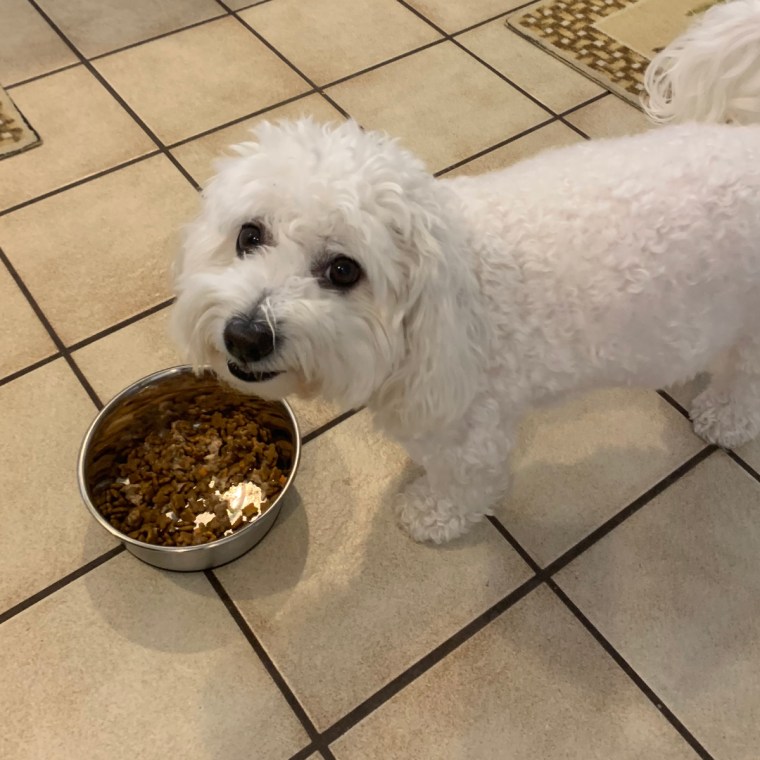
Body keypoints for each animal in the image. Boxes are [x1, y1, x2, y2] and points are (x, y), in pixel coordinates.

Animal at [171, 1, 760, 548]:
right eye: (249, 235)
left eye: (343, 270)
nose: (245, 336)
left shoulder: (470, 431)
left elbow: (462, 485)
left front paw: (430, 514)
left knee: (746, 383)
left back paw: (725, 418)